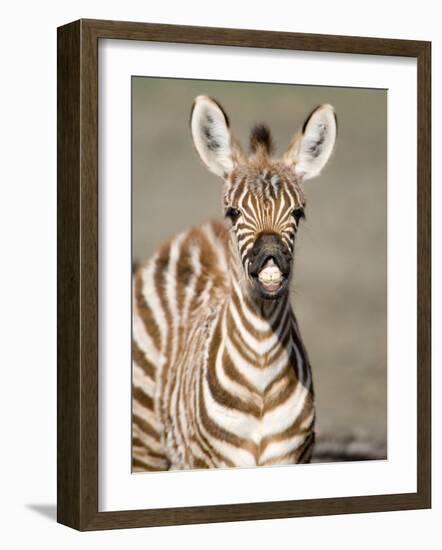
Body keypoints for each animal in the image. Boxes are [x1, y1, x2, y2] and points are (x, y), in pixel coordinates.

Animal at [133, 97, 336, 472]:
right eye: (234, 213)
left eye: (298, 213)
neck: (261, 370)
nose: (270, 259)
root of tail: (199, 231)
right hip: (145, 440)